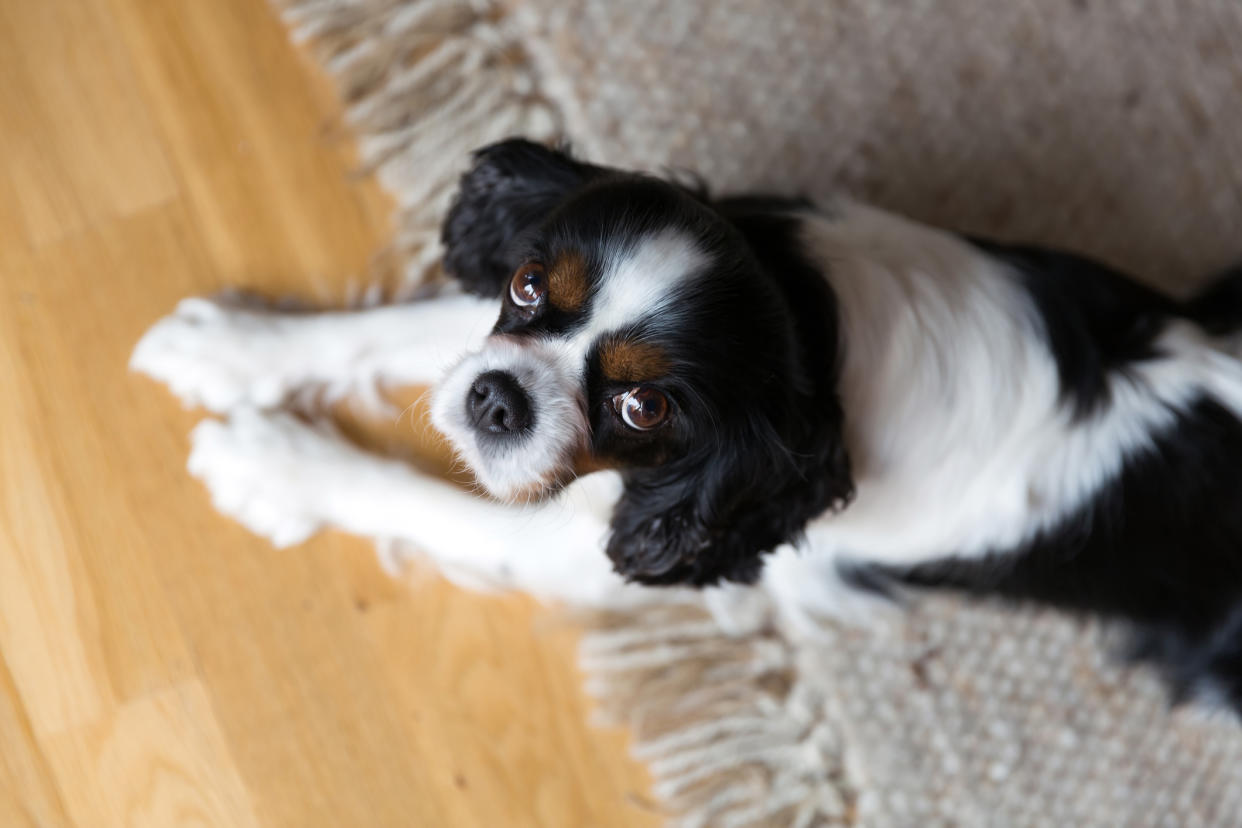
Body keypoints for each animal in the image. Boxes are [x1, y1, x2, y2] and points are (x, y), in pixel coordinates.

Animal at [133, 140, 1242, 715]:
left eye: (643, 407)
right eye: (528, 285)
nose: (496, 402)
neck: (820, 326)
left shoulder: (613, 539)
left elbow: (426, 499)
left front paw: (271, 461)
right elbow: (401, 331)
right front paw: (234, 348)